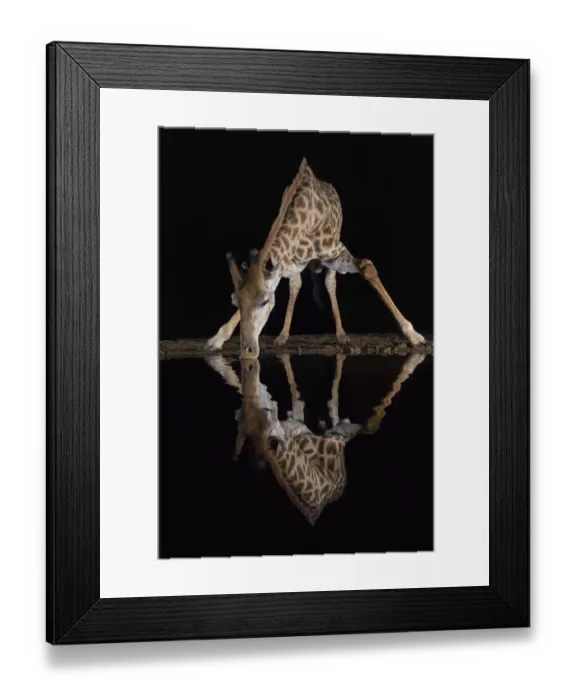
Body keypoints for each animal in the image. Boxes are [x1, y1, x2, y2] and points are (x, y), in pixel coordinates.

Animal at [205, 157, 426, 360]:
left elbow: (367, 267)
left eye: (264, 301)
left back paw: (341, 335)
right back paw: (283, 336)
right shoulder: (285, 263)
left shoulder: (335, 252)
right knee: (296, 285)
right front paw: (216, 340)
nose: (247, 352)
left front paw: (414, 335)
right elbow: (288, 284)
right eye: (235, 302)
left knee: (330, 282)